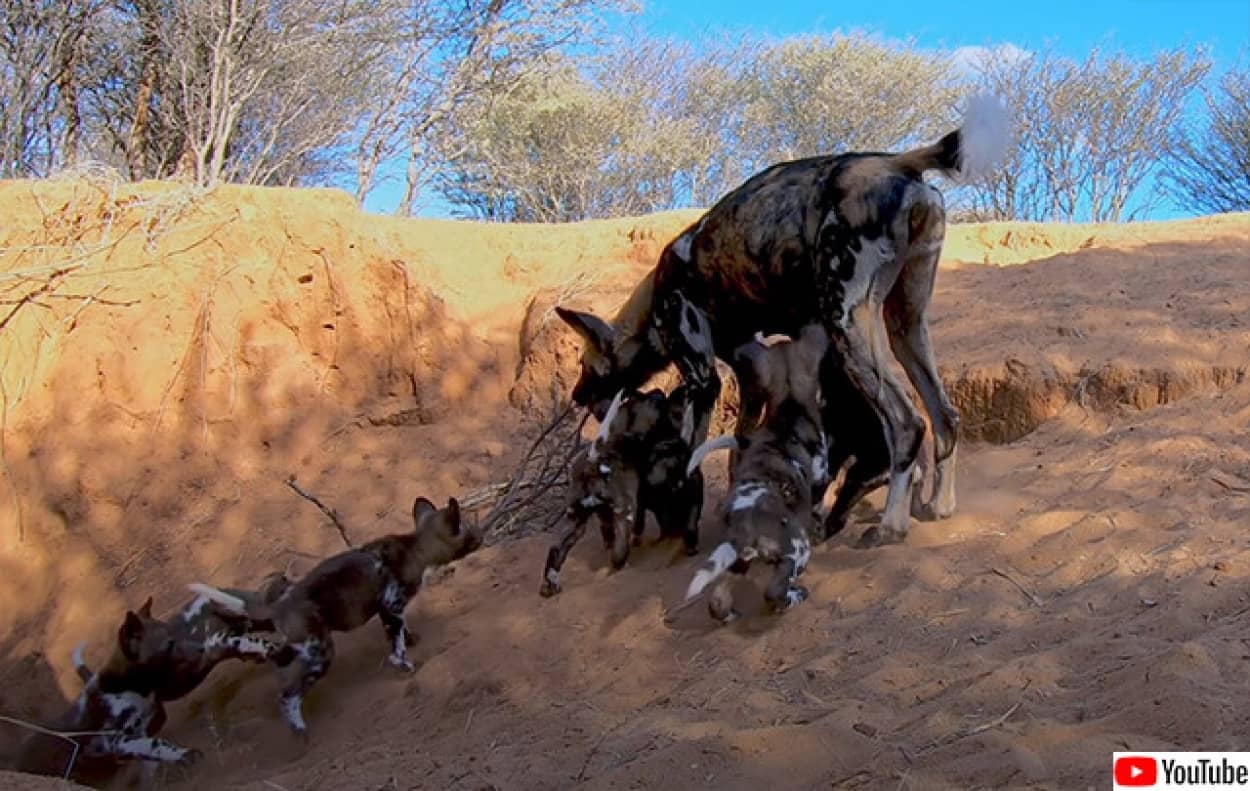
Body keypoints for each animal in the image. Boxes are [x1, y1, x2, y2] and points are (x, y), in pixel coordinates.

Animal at [186, 497, 477, 739]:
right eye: (469, 529)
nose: (482, 534)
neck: (417, 549)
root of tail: (280, 606)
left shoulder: (388, 611)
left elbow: (401, 632)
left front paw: (412, 639)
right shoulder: (392, 606)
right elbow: (397, 647)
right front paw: (403, 665)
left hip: (300, 650)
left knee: (279, 668)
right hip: (321, 654)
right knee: (287, 697)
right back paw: (300, 731)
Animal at [685, 324, 830, 622]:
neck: (789, 408)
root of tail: (745, 518)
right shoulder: (821, 477)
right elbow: (820, 507)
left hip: (736, 559)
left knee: (717, 603)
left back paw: (729, 615)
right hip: (797, 551)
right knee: (774, 591)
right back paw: (794, 597)